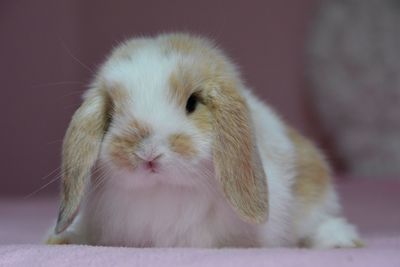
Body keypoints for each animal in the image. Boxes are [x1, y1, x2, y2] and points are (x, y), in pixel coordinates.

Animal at [46, 33, 362, 249]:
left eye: (192, 103)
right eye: (111, 112)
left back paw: (342, 240)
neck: (164, 192)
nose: (148, 154)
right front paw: (59, 238)